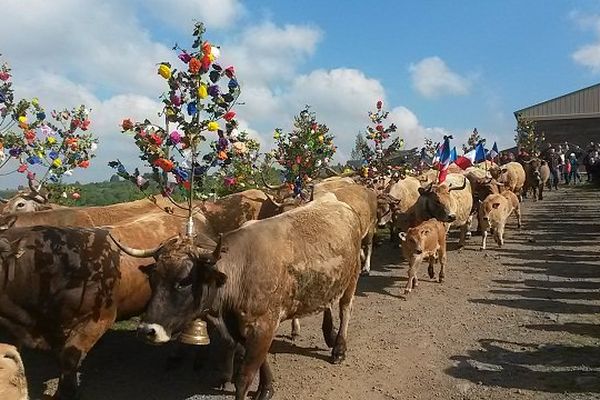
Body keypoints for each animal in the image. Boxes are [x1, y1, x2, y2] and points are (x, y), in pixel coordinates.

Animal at [114, 192, 364, 398]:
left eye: (184, 281)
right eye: (153, 279)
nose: (147, 331)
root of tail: (335, 201)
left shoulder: (263, 325)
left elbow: (244, 377)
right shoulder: (244, 328)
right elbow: (261, 361)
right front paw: (266, 388)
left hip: (352, 277)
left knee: (346, 309)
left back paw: (339, 347)